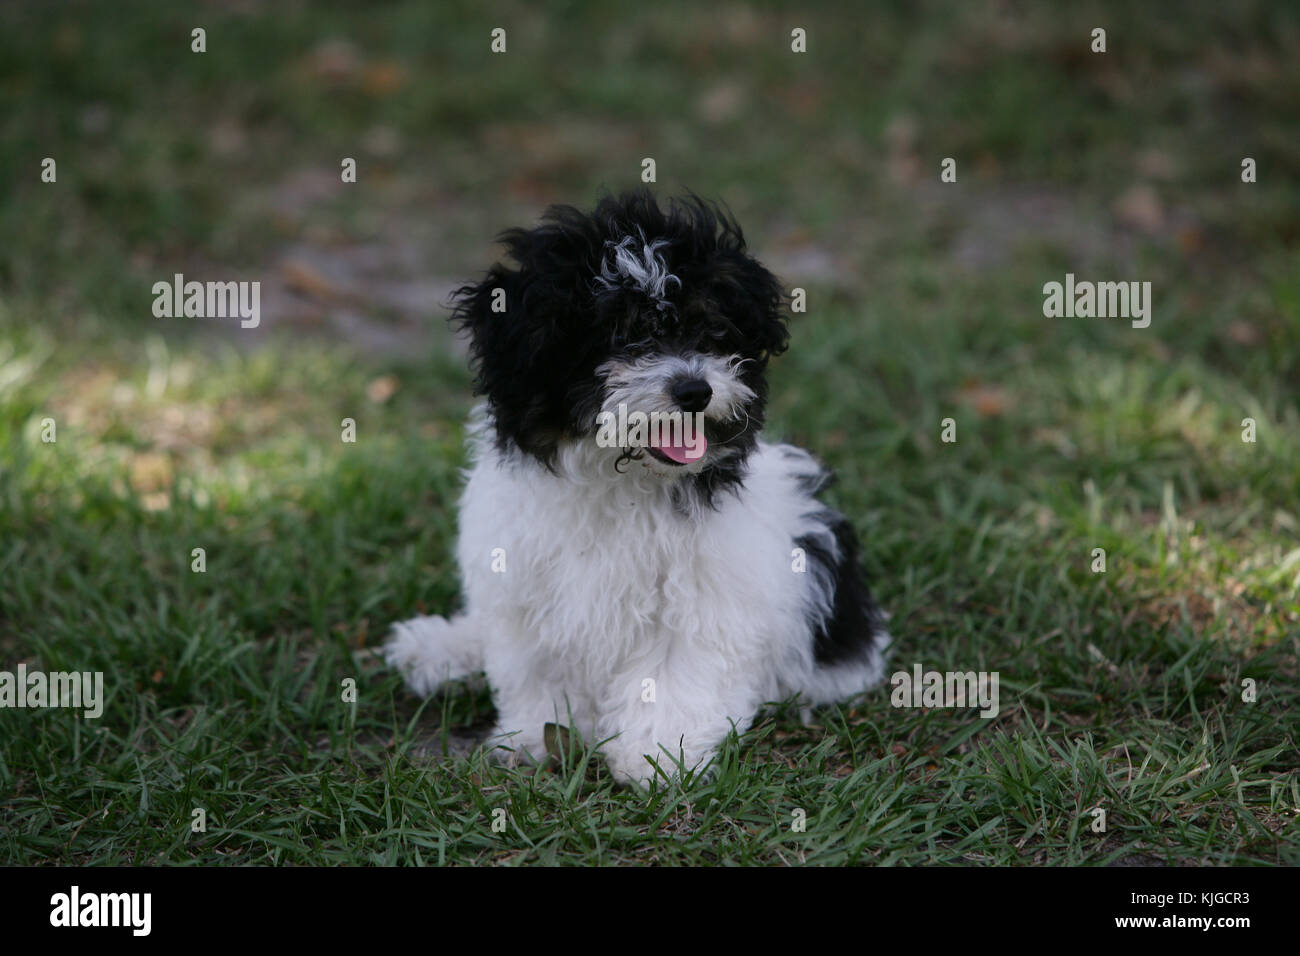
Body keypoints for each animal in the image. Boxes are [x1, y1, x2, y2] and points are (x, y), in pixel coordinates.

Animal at [384, 191, 889, 790]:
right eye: (623, 336)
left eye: (710, 332)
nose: (695, 390)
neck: (619, 478)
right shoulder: (526, 583)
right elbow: (537, 670)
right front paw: (533, 737)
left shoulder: (703, 600)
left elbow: (671, 674)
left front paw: (656, 756)